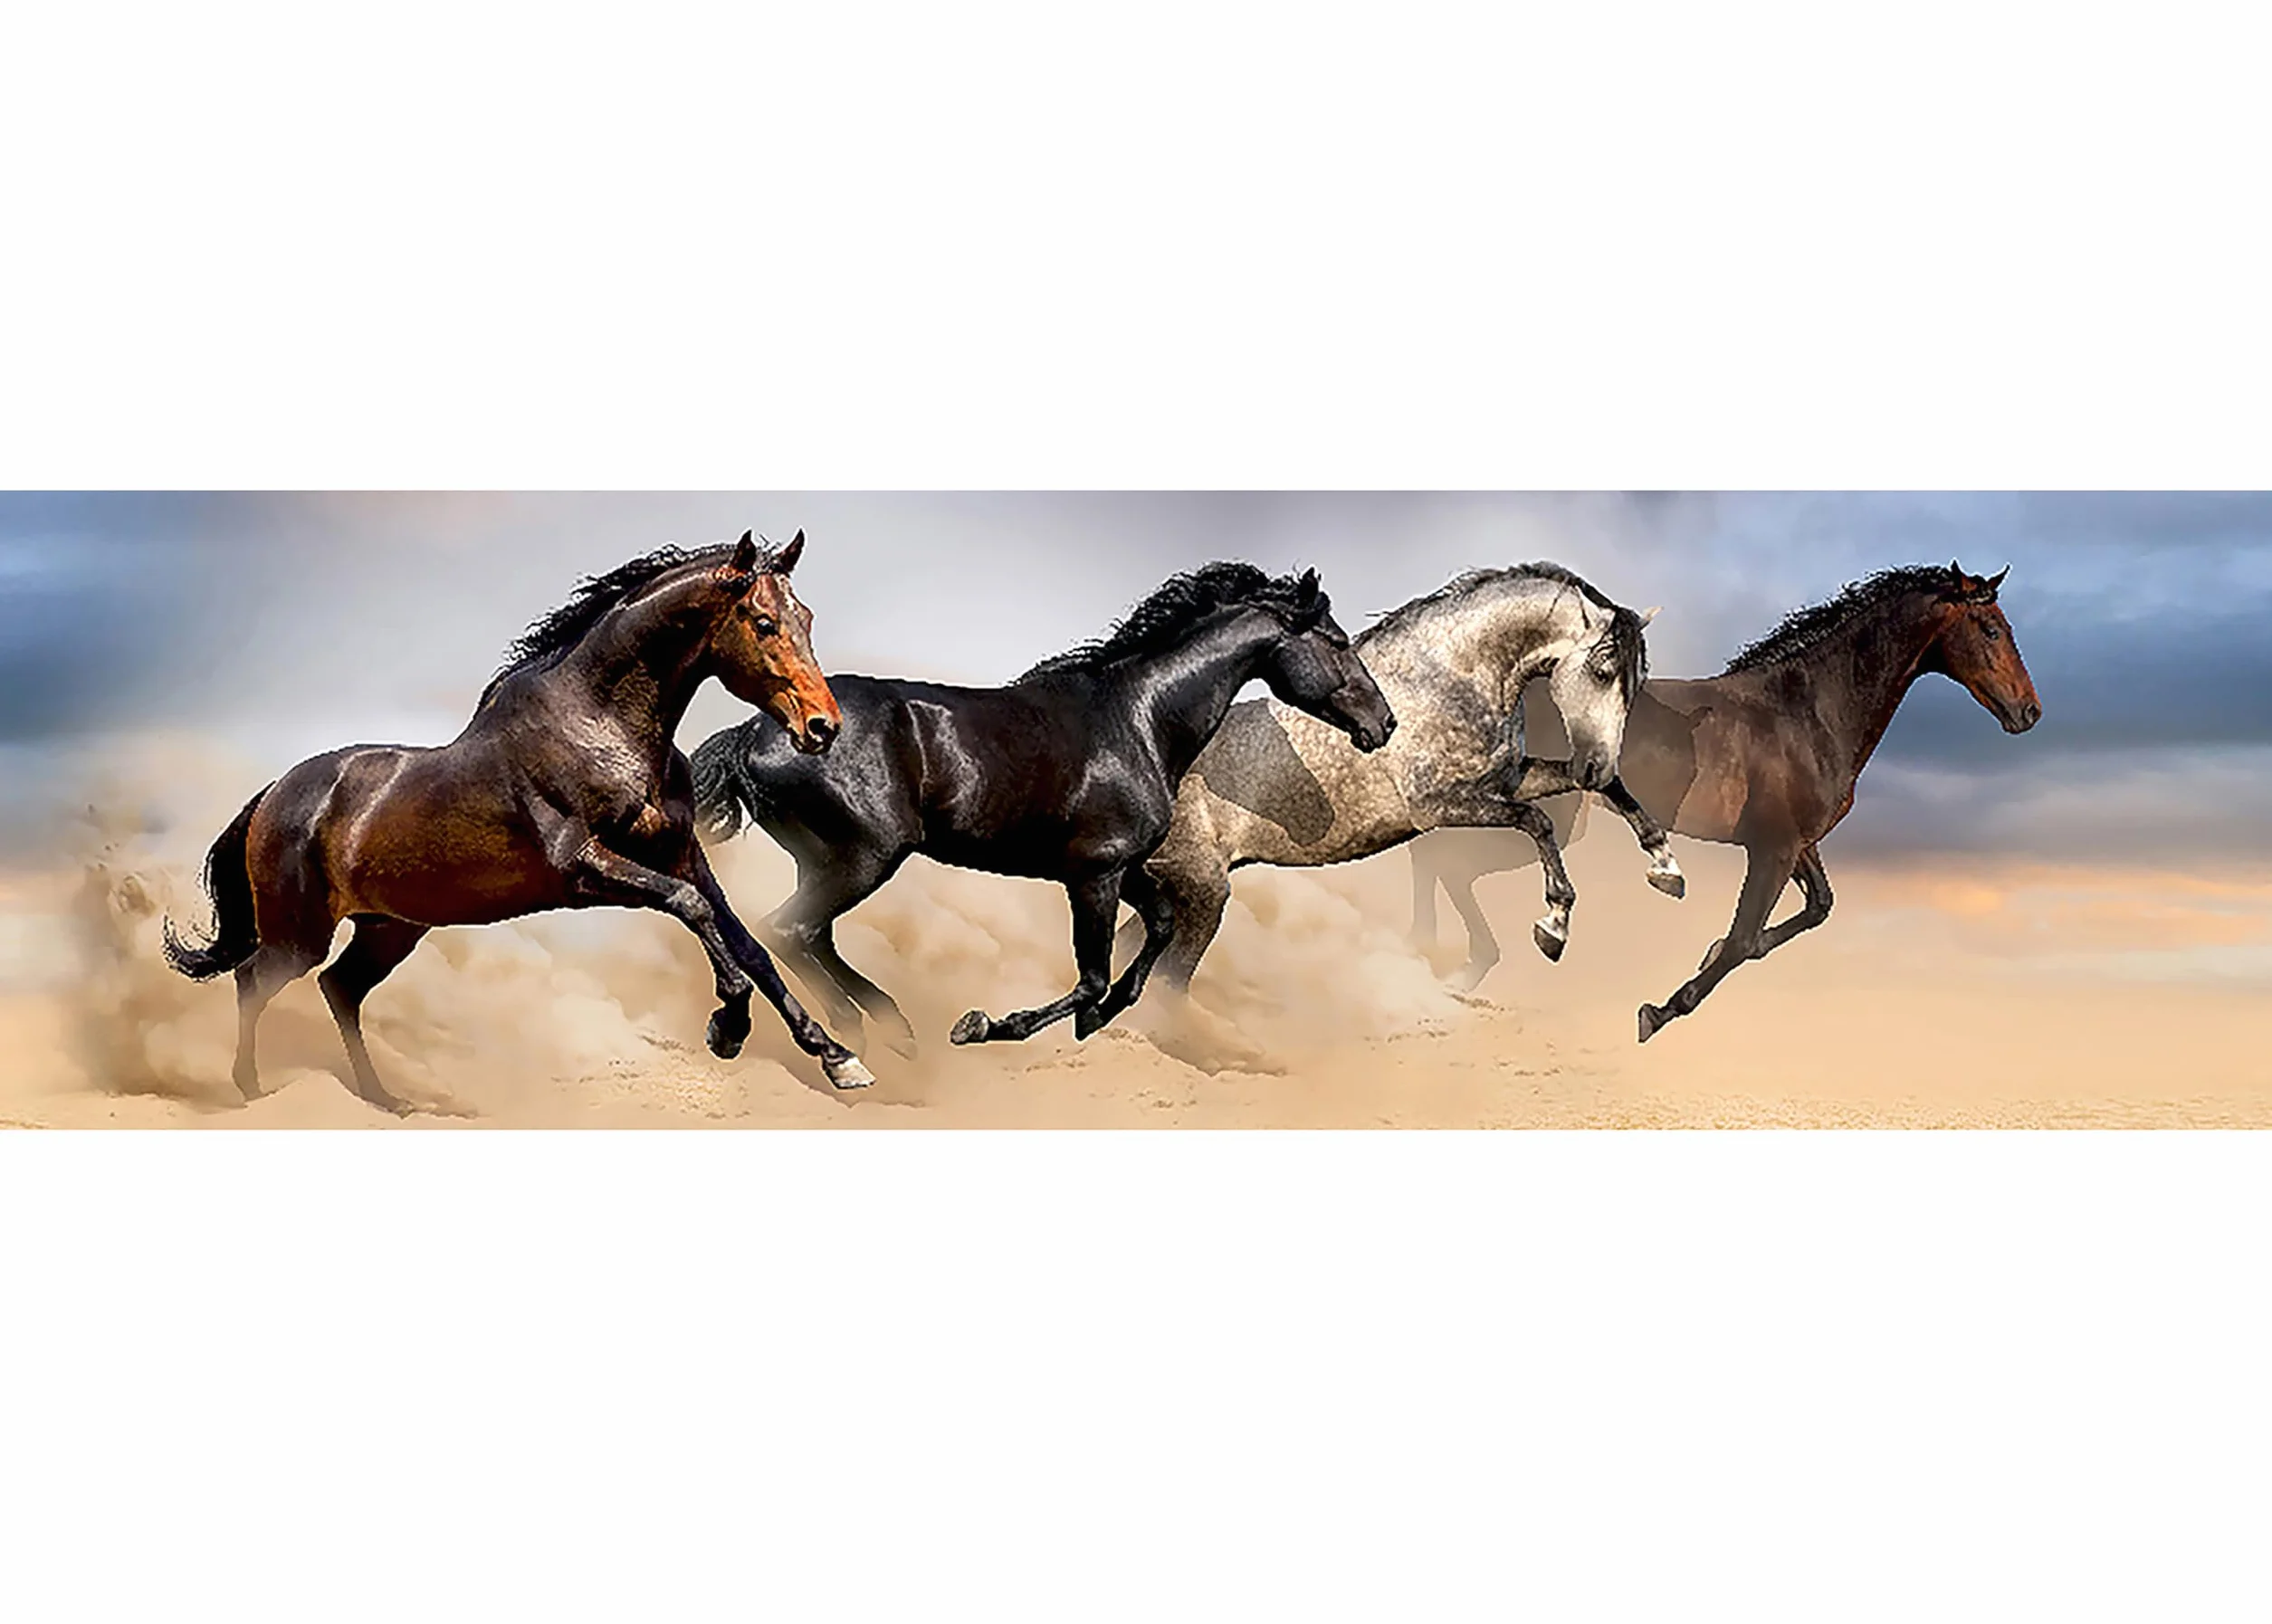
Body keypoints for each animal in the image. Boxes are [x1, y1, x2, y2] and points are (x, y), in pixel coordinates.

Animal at [162, 530, 878, 1112]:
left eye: (805, 617)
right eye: (762, 622)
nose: (823, 727)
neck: (600, 724)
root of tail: (276, 792)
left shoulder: (680, 855)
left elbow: (745, 942)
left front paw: (838, 1058)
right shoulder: (585, 869)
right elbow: (691, 910)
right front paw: (728, 1027)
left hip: (391, 928)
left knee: (341, 988)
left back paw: (383, 1101)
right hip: (299, 933)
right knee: (255, 981)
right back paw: (251, 1090)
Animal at [689, 562, 1397, 1052]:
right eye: (1337, 642)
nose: (1384, 723)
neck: (1138, 721)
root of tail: (753, 734)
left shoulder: (1121, 869)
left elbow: (1158, 932)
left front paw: (1097, 1021)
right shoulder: (1094, 873)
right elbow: (1093, 974)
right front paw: (984, 1026)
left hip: (830, 862)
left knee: (804, 935)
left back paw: (876, 1029)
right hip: (862, 858)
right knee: (792, 929)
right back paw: (870, 1032)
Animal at [1123, 563, 1681, 1025]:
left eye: (1638, 683)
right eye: (1602, 669)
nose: (1595, 764)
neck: (1453, 679)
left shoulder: (1506, 779)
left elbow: (1608, 794)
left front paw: (1667, 869)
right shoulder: (1439, 806)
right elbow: (1535, 821)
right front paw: (1553, 927)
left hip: (1178, 891)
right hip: (1201, 891)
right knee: (1167, 978)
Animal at [1406, 562, 2043, 1040]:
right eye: (1991, 629)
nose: (2029, 712)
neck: (1808, 710)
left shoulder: (1796, 844)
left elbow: (1812, 910)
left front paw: (1711, 952)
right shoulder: (1772, 848)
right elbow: (1742, 938)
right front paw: (1658, 1011)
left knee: (1435, 854)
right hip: (1556, 820)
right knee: (1445, 859)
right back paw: (1469, 958)